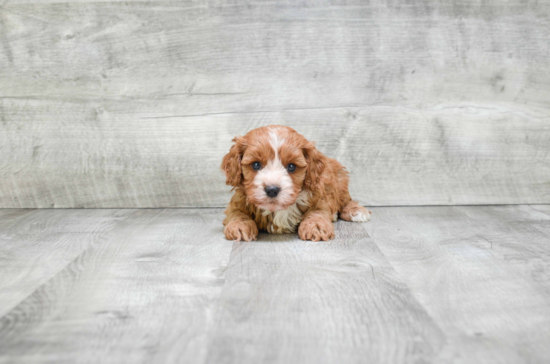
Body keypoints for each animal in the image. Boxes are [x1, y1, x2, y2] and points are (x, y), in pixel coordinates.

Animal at [221, 125, 370, 242]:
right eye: (256, 164)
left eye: (291, 166)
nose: (272, 190)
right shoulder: (238, 201)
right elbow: (237, 213)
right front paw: (239, 226)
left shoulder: (320, 196)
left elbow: (317, 211)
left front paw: (316, 226)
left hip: (339, 181)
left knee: (345, 200)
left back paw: (356, 211)